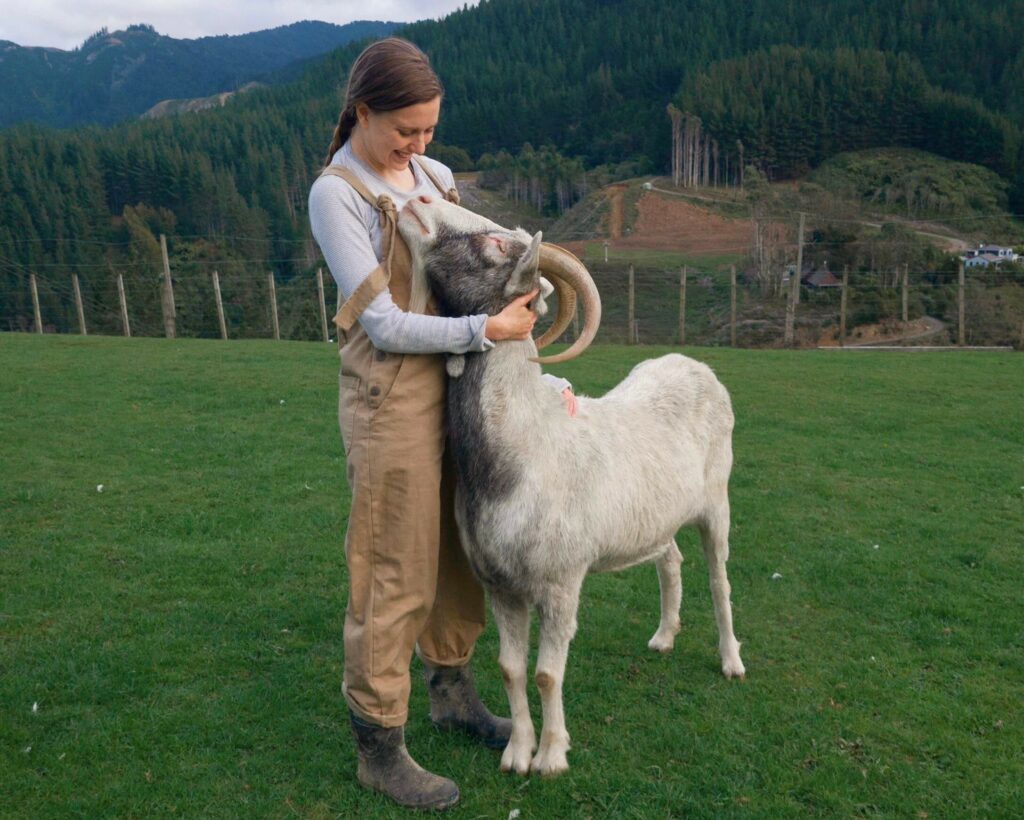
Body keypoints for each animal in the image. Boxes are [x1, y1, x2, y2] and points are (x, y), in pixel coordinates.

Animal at [397, 196, 745, 777]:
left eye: (496, 244)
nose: (416, 201)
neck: (526, 450)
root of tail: (694, 365)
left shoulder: (561, 585)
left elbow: (546, 674)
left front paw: (552, 756)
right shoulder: (501, 587)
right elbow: (512, 670)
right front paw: (517, 752)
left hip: (716, 506)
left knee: (720, 581)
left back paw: (732, 661)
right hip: (656, 518)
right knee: (671, 561)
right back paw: (663, 636)